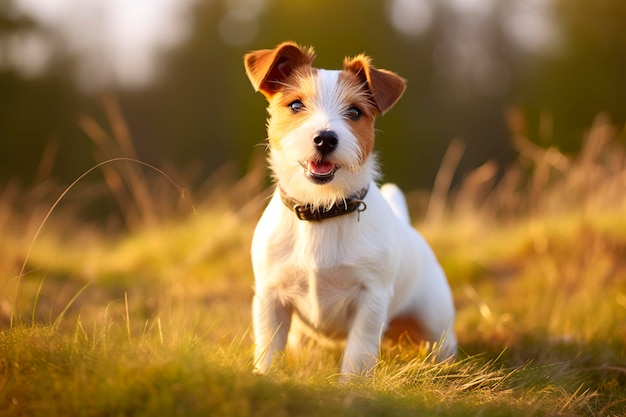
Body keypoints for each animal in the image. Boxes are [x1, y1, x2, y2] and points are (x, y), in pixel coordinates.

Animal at [243, 41, 454, 374]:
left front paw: (352, 385)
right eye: (295, 105)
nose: (325, 138)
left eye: (355, 111)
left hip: (435, 324)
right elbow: (269, 348)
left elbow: (358, 353)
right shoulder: (270, 296)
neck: (322, 209)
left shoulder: (371, 298)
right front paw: (266, 377)